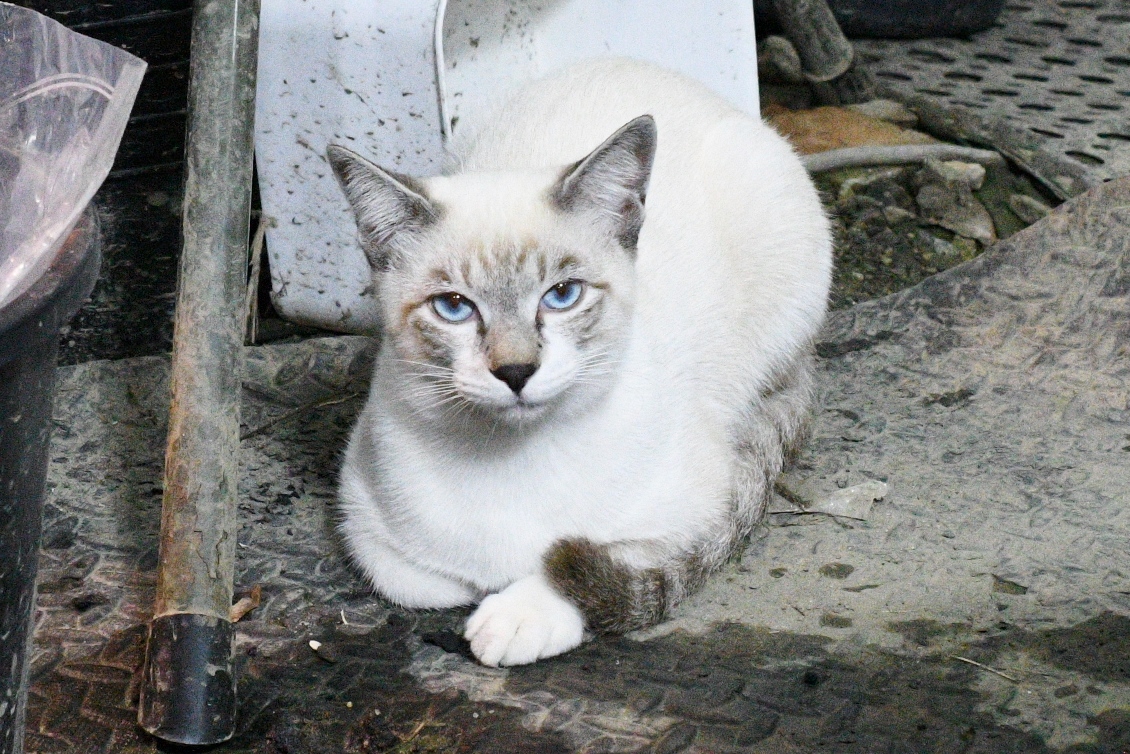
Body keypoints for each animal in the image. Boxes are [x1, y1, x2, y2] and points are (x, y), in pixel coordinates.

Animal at [327, 61, 831, 669]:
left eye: (562, 295)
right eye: (453, 307)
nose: (515, 372)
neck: (513, 457)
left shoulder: (702, 503)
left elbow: (603, 561)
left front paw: (517, 615)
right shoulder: (360, 510)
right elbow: (420, 581)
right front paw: (478, 588)